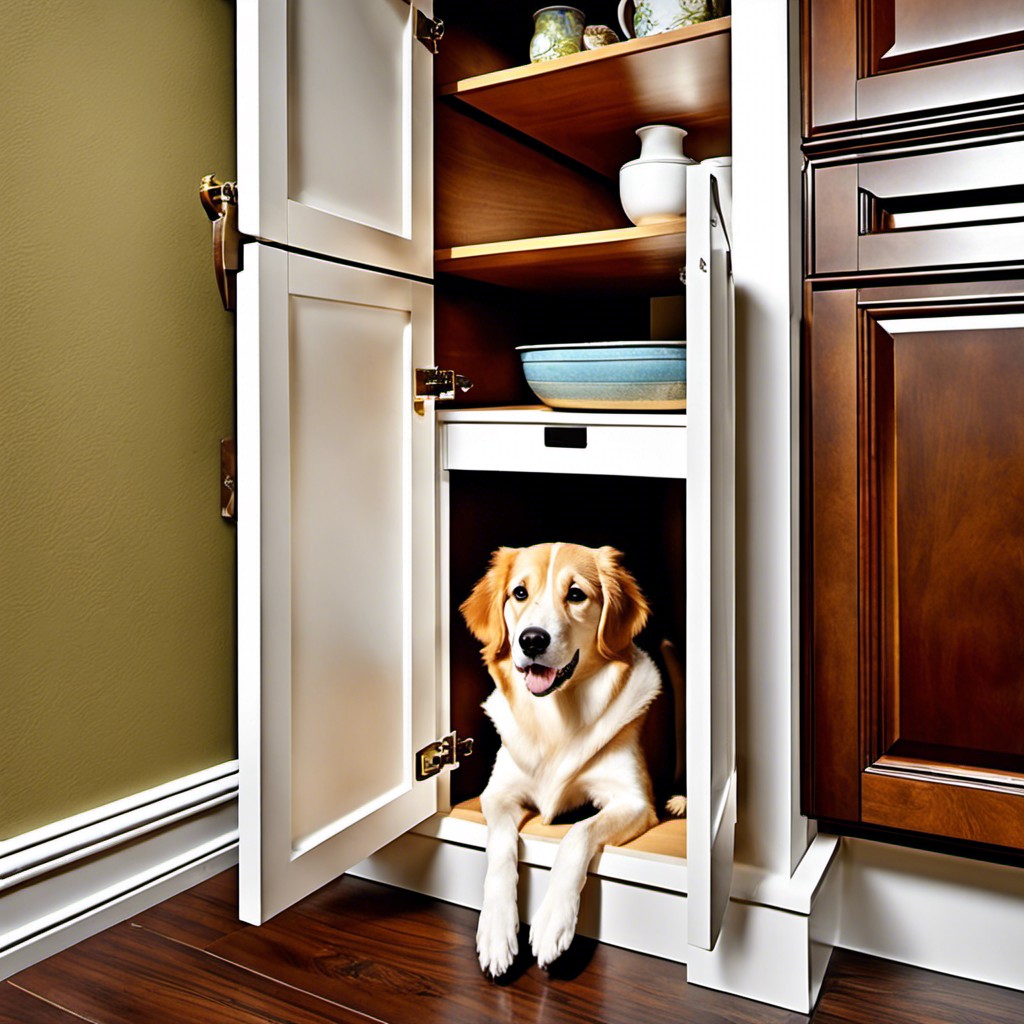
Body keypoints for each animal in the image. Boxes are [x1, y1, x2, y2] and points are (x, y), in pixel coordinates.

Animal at [464, 544, 671, 974]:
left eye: (576, 595)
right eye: (519, 593)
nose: (531, 640)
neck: (555, 720)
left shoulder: (634, 802)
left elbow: (578, 834)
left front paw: (552, 924)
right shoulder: (497, 794)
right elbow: (500, 845)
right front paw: (495, 930)